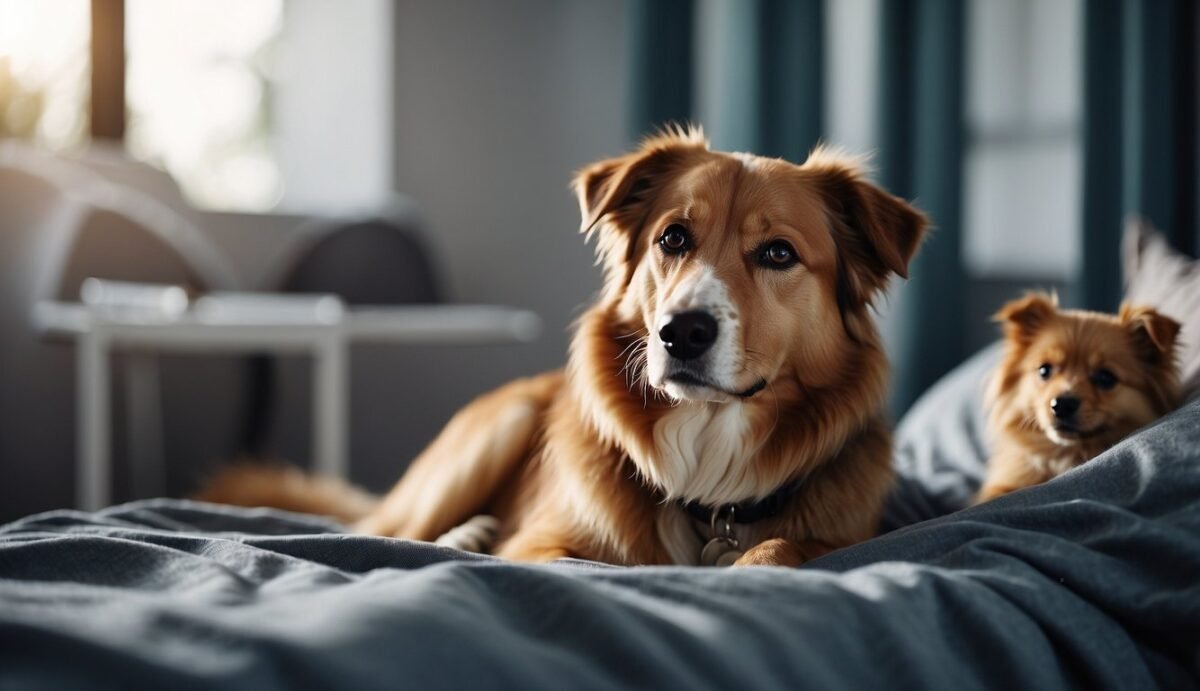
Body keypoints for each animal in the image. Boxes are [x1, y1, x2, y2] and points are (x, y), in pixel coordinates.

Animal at [208, 128, 926, 566]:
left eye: (778, 253)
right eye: (673, 238)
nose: (681, 331)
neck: (708, 476)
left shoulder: (847, 534)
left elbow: (787, 548)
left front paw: (756, 559)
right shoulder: (543, 544)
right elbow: (591, 565)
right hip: (494, 429)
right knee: (384, 533)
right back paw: (466, 532)